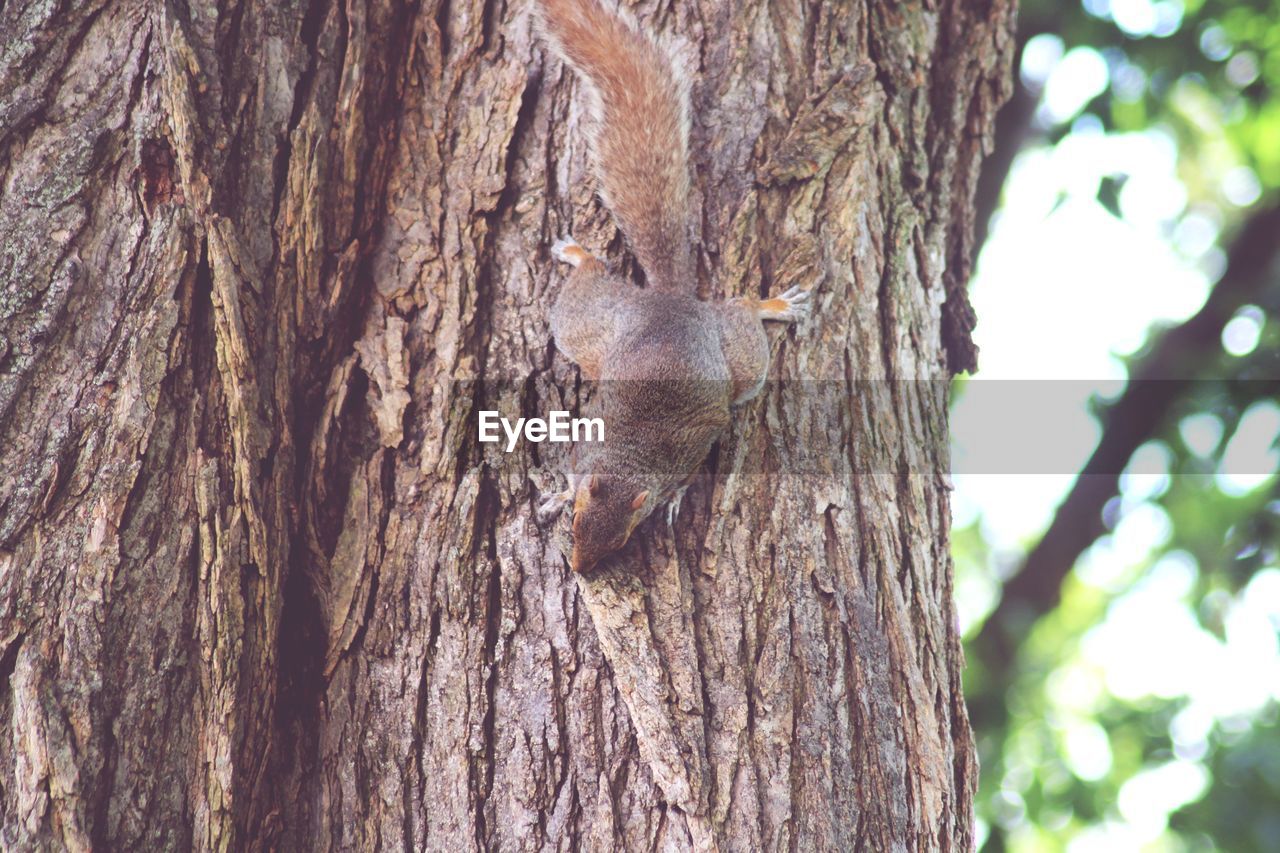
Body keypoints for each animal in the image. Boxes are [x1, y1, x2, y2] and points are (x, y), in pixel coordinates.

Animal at [535, 0, 803, 571]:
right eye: (575, 524)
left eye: (622, 539)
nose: (581, 570)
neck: (629, 456)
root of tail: (671, 302)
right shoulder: (587, 444)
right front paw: (557, 493)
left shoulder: (695, 440)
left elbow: (691, 469)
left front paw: (676, 499)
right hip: (591, 326)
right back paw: (577, 253)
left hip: (729, 360)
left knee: (740, 311)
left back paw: (773, 305)